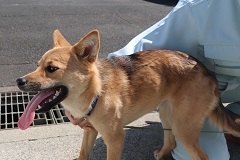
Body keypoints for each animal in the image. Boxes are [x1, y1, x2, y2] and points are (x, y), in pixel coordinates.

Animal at [15, 29, 240, 159]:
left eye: (51, 69)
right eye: (37, 66)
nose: (19, 81)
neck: (96, 91)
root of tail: (208, 72)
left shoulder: (115, 140)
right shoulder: (90, 131)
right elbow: (82, 154)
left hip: (183, 127)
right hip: (168, 115)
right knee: (171, 141)